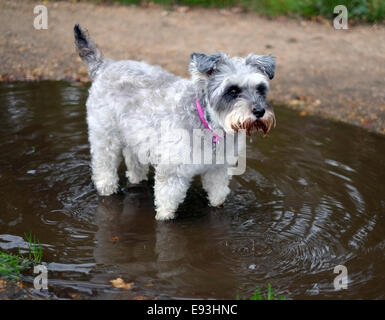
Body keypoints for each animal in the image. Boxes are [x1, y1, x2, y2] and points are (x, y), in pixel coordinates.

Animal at [73, 24, 274, 220]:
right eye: (232, 91)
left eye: (260, 88)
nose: (259, 111)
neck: (210, 126)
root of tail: (104, 66)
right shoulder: (172, 172)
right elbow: (166, 204)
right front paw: (164, 218)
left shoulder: (218, 170)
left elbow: (217, 196)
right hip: (105, 138)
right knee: (103, 164)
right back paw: (107, 188)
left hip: (135, 137)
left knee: (134, 162)